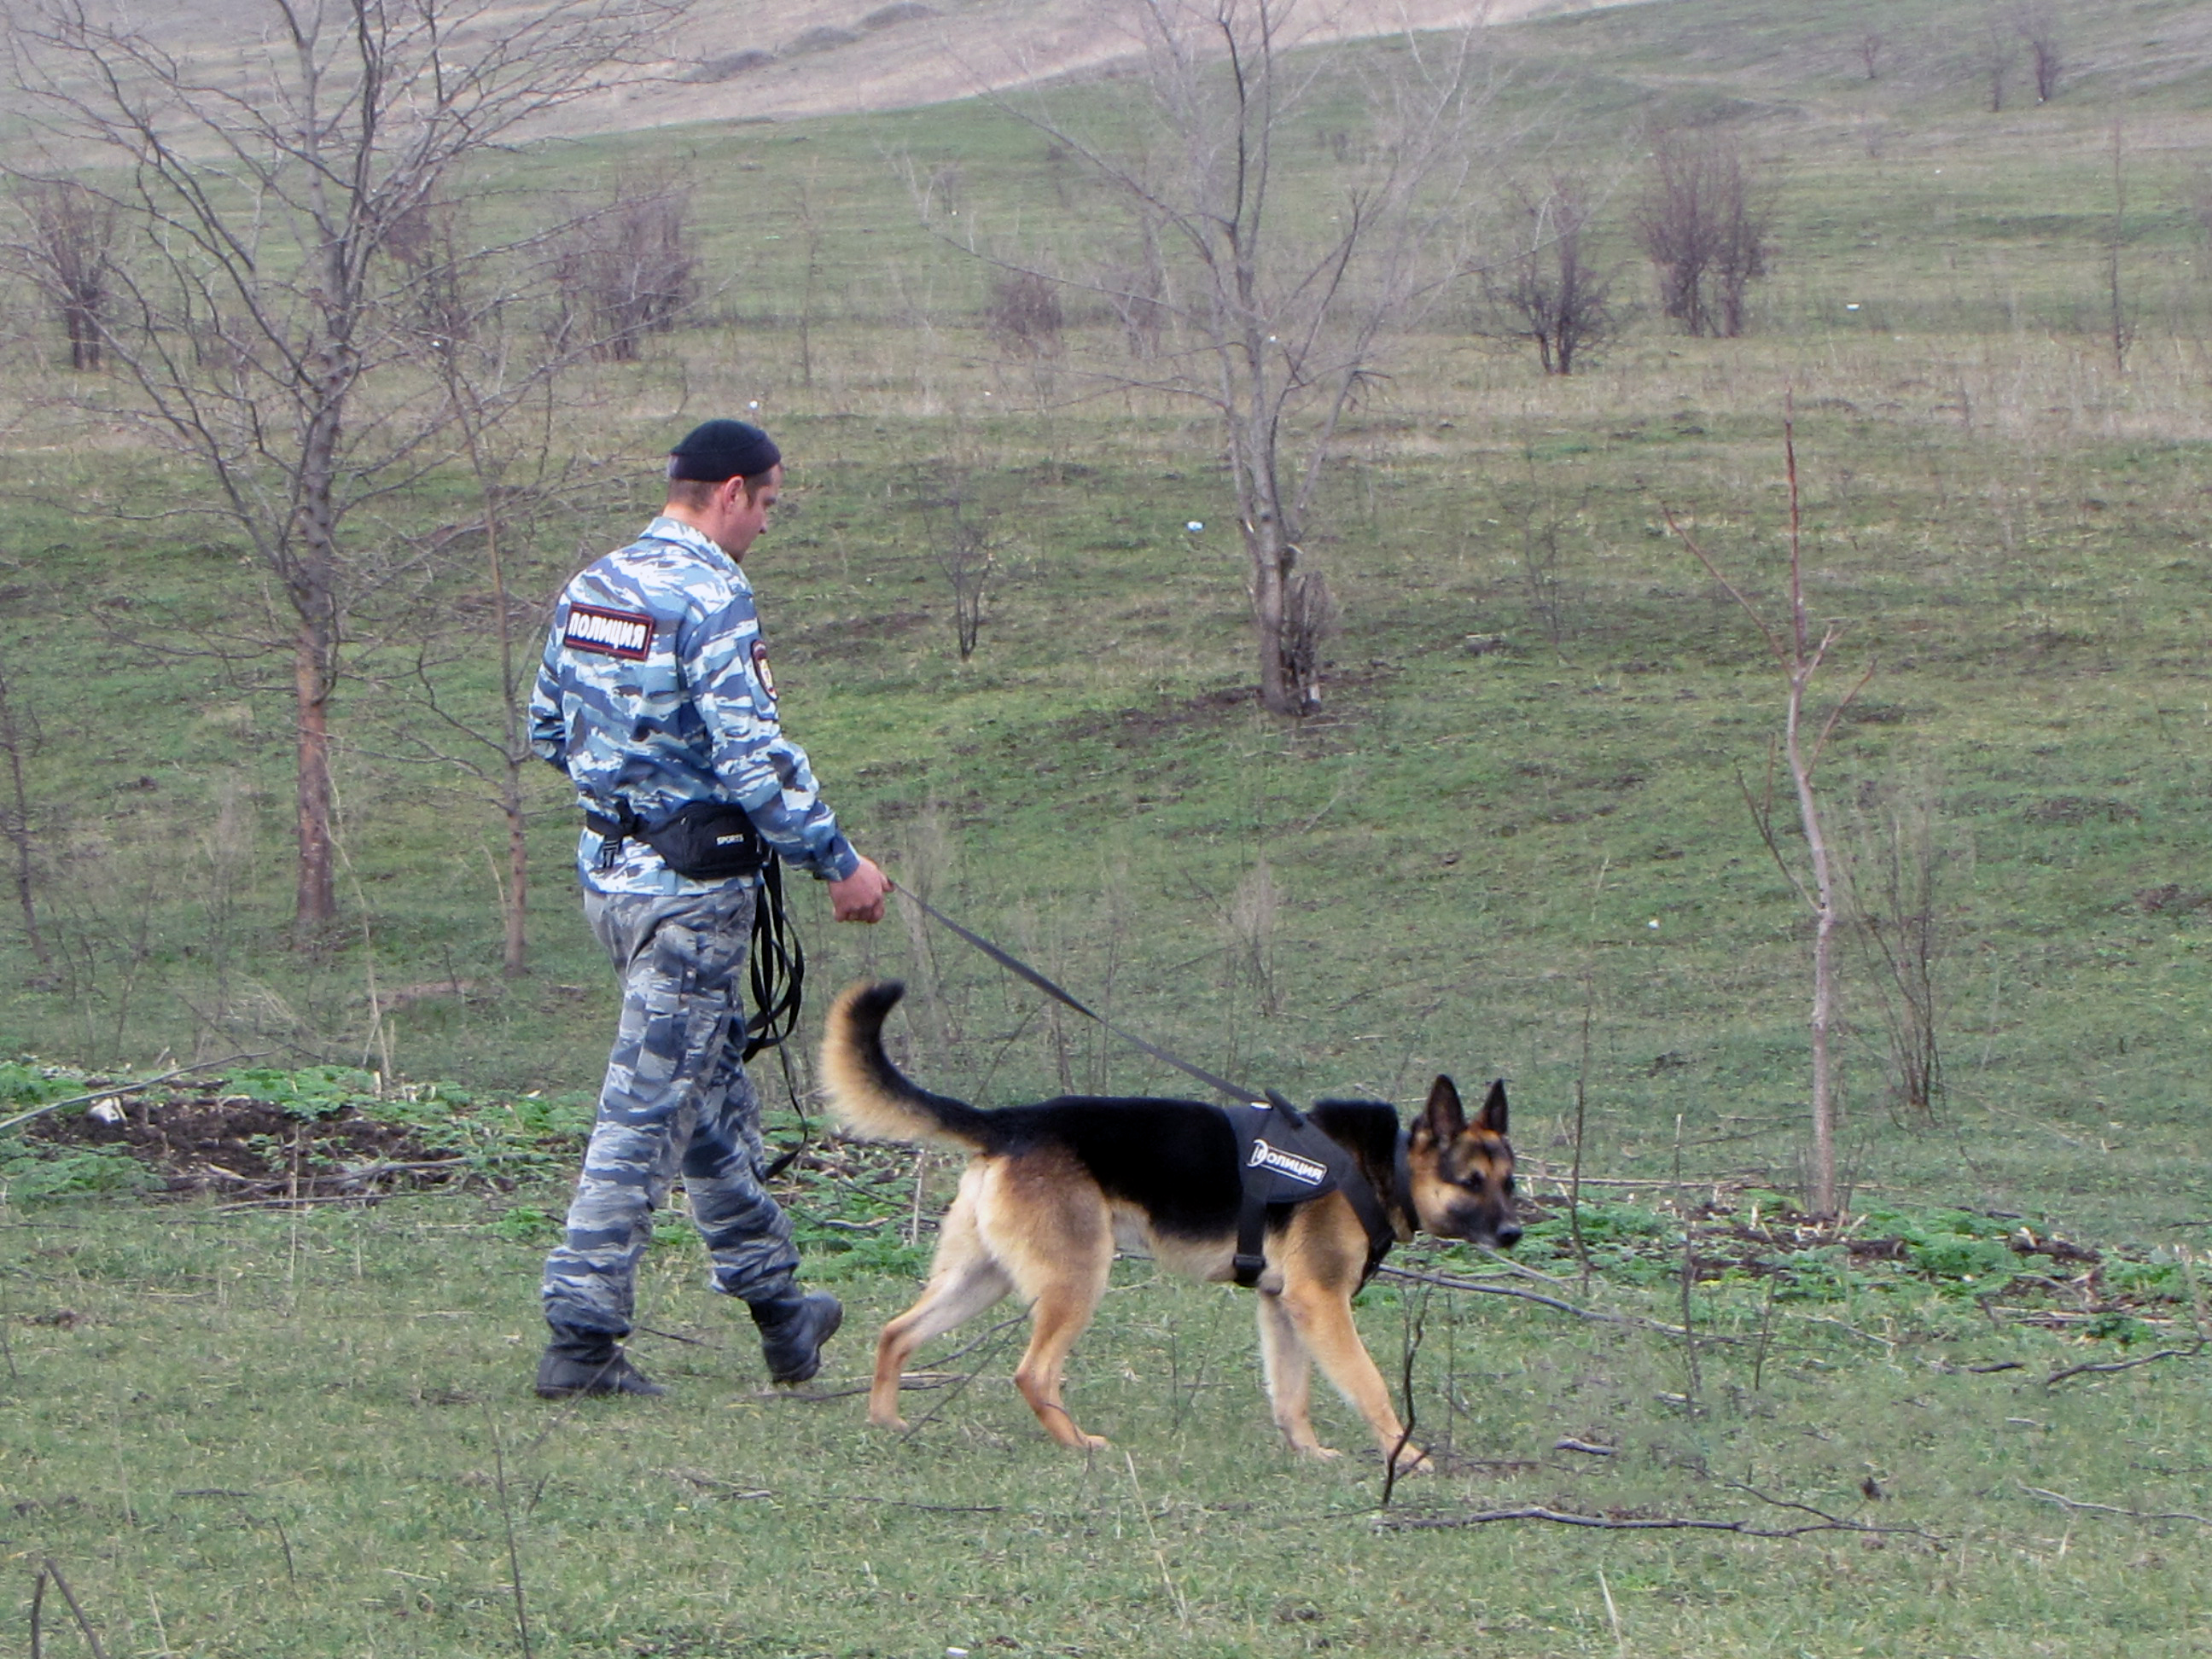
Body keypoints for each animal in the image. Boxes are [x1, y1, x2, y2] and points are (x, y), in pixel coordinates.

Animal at [818, 981, 1522, 1477]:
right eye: (1471, 1182)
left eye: (1509, 1182)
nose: (1515, 1233)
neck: (1384, 1168)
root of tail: (1010, 1122)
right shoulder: (1320, 1303)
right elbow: (1372, 1388)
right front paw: (1409, 1458)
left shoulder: (1282, 1306)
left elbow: (1290, 1396)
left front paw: (1306, 1453)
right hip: (1077, 1279)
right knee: (1033, 1374)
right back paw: (1078, 1445)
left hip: (981, 1280)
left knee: (895, 1334)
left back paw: (885, 1423)